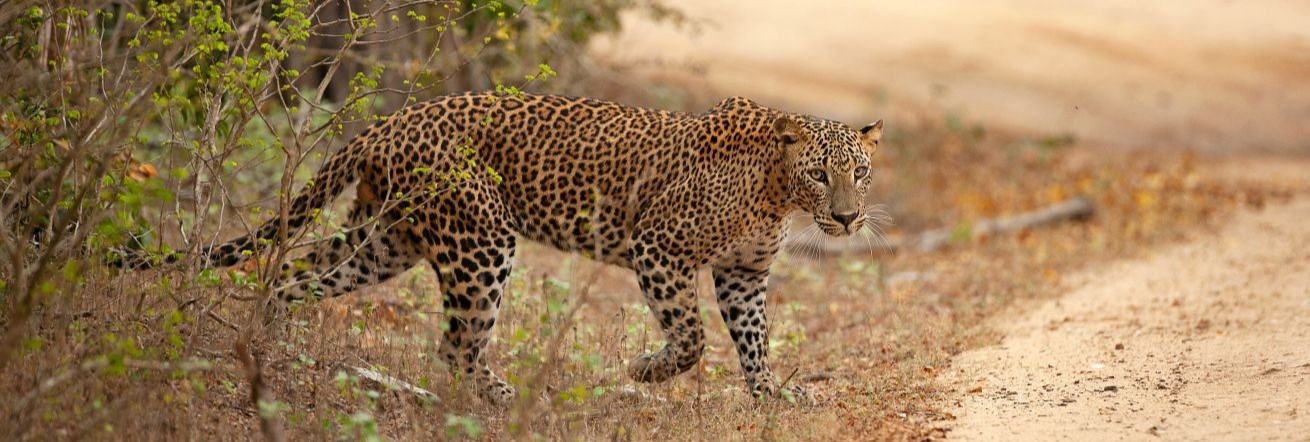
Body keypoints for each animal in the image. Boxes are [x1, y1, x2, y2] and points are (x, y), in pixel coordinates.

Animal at [116, 91, 885, 405]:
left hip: (383, 239)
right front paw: (646, 372)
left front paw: (771, 396)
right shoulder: (658, 248)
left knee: (293, 277)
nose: (848, 219)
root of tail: (392, 120)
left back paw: (268, 347)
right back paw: (506, 399)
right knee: (455, 344)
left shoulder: (742, 274)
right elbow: (693, 339)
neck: (777, 191)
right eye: (821, 172)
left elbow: (754, 340)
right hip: (480, 240)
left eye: (860, 171)